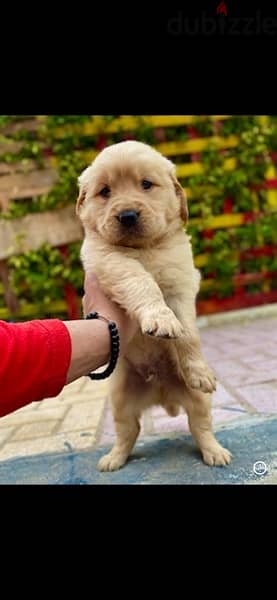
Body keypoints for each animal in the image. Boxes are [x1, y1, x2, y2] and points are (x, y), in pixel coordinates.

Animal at [75, 139, 231, 468]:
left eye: (146, 184)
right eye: (105, 191)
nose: (127, 215)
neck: (145, 249)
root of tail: (162, 393)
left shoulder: (181, 283)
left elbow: (188, 333)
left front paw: (198, 368)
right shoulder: (108, 259)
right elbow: (140, 281)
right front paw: (160, 318)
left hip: (197, 401)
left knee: (200, 426)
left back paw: (214, 451)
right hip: (120, 399)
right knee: (128, 431)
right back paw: (114, 459)